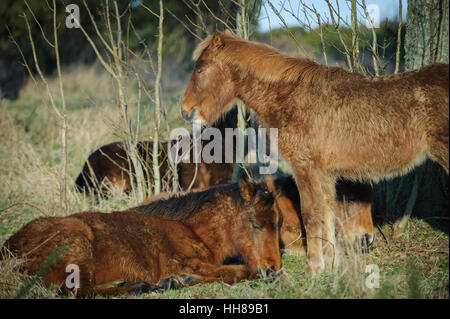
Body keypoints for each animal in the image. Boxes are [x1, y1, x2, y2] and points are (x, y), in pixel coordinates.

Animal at [0, 178, 282, 298]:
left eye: (278, 224)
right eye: (255, 224)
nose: (274, 271)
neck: (190, 229)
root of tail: (8, 249)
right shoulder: (185, 262)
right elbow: (237, 271)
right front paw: (180, 280)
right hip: (77, 243)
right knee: (80, 291)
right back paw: (139, 287)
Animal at [180, 30, 450, 276]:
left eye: (201, 70)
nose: (185, 111)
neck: (291, 96)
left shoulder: (306, 170)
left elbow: (311, 216)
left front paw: (313, 268)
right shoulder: (325, 175)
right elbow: (327, 216)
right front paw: (330, 266)